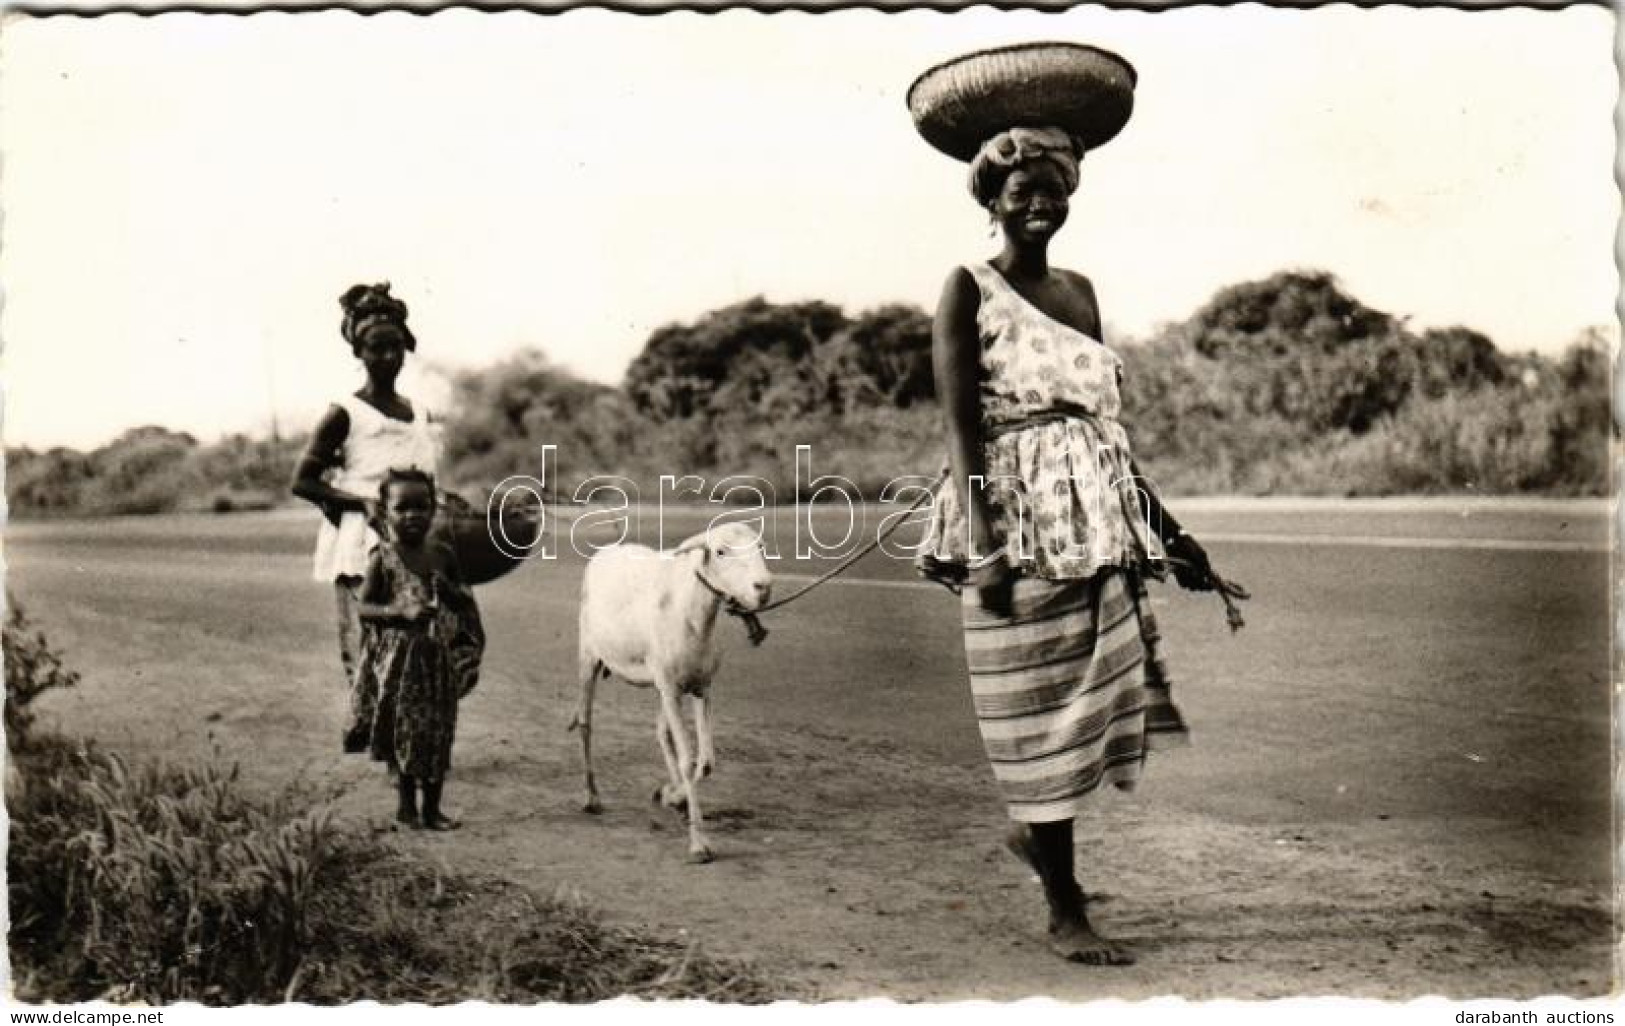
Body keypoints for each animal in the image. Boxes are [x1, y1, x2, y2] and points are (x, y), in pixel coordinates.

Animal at [572, 520, 773, 865]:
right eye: (720, 551)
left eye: (760, 547)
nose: (763, 587)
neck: (691, 615)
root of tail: (609, 550)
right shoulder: (670, 687)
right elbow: (687, 760)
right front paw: (699, 844)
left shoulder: (699, 688)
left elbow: (706, 761)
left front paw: (673, 796)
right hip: (590, 657)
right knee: (586, 724)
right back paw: (592, 798)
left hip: (664, 688)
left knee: (661, 732)